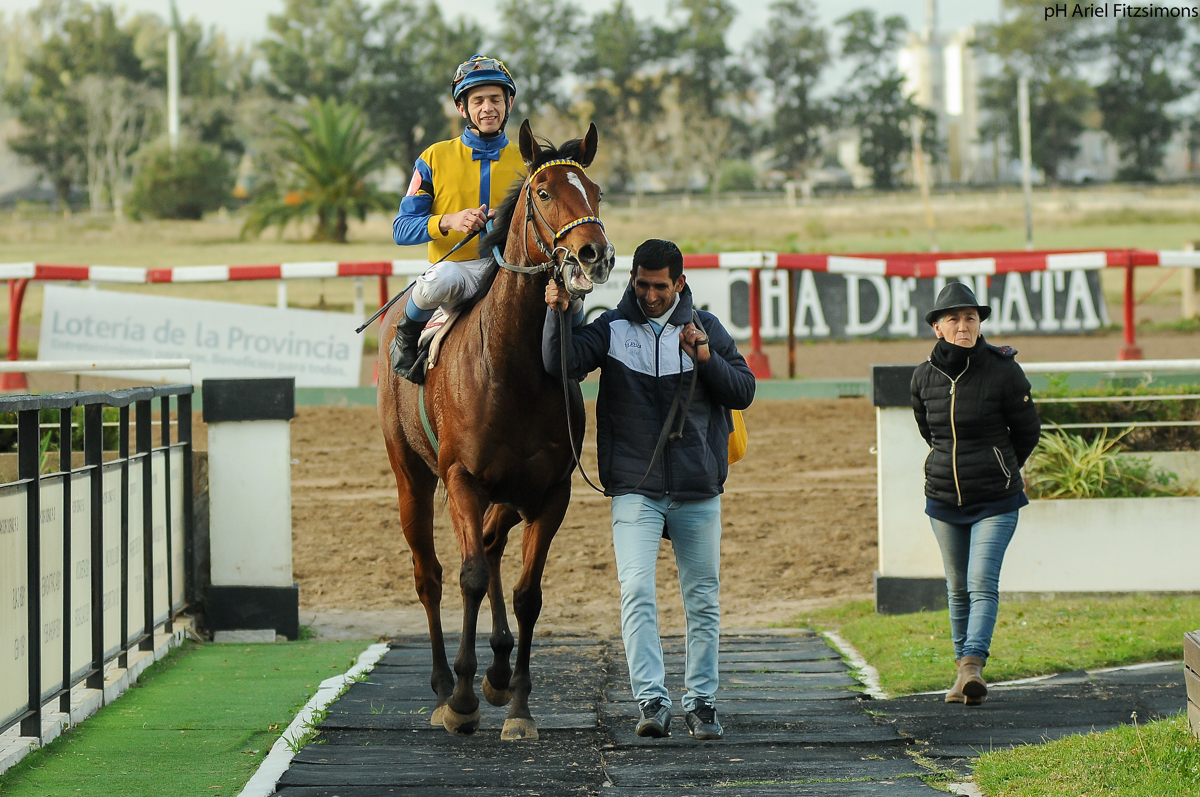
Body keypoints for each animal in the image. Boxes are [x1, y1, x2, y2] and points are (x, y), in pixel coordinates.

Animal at [377, 120, 614, 740]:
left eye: (596, 191)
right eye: (544, 192)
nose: (594, 254)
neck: (515, 370)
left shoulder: (551, 490)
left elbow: (527, 593)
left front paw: (520, 705)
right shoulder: (462, 478)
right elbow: (470, 577)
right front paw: (461, 697)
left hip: (508, 492)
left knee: (489, 543)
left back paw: (501, 667)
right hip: (412, 477)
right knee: (431, 573)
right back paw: (444, 683)